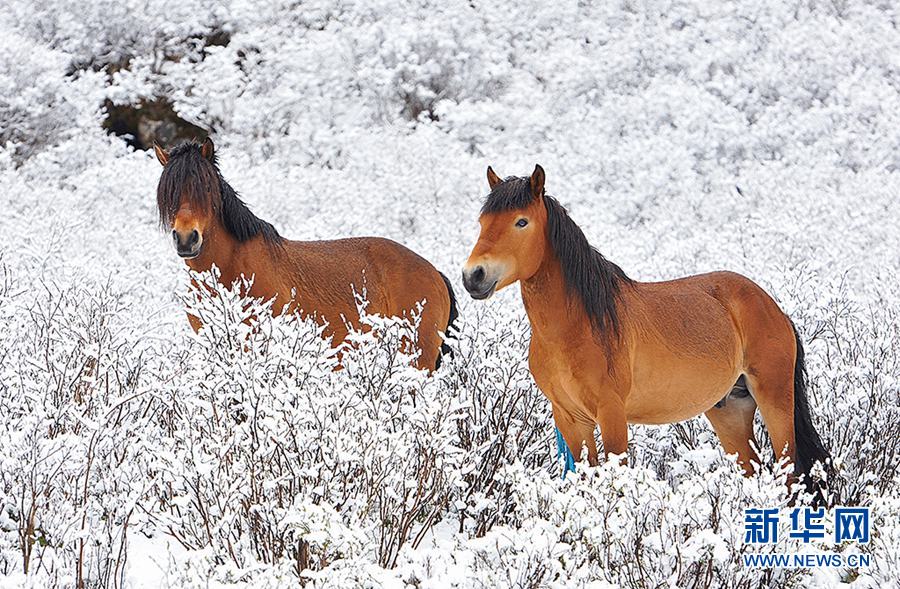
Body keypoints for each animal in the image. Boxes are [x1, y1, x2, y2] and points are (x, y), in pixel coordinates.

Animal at [462, 164, 831, 493]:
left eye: (521, 221)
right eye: (481, 222)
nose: (473, 276)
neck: (576, 327)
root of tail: (773, 308)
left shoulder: (611, 415)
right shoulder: (570, 418)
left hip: (775, 400)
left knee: (788, 474)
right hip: (730, 411)